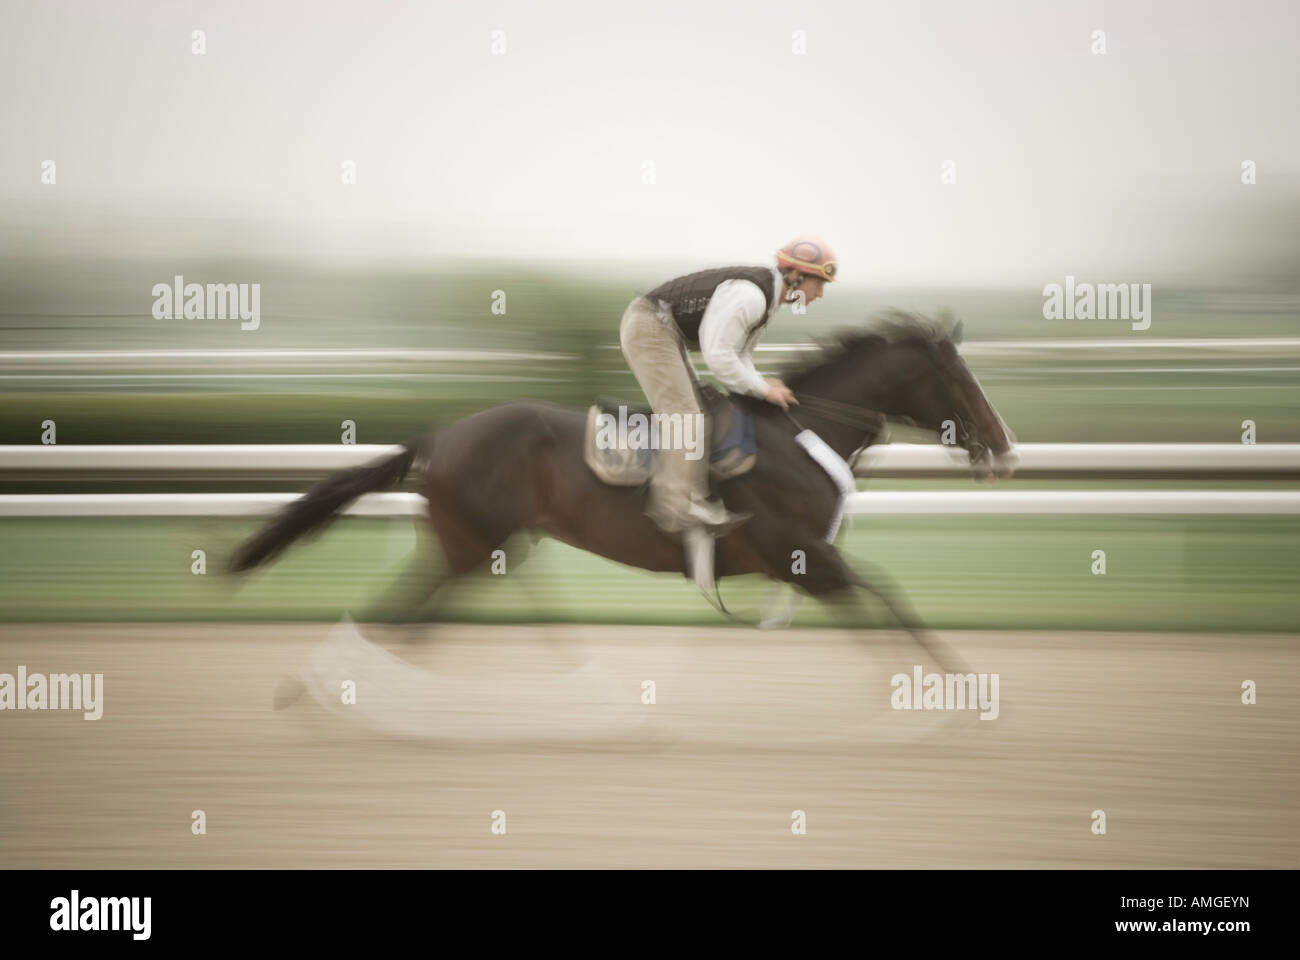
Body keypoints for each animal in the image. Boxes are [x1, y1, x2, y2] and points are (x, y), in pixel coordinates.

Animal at [236, 310, 1024, 671]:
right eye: (960, 378)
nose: (1006, 448)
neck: (801, 435)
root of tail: (439, 436)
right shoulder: (801, 554)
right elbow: (888, 596)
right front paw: (948, 684)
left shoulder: (801, 565)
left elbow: (879, 605)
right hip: (470, 543)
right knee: (399, 618)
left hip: (485, 546)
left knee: (415, 619)